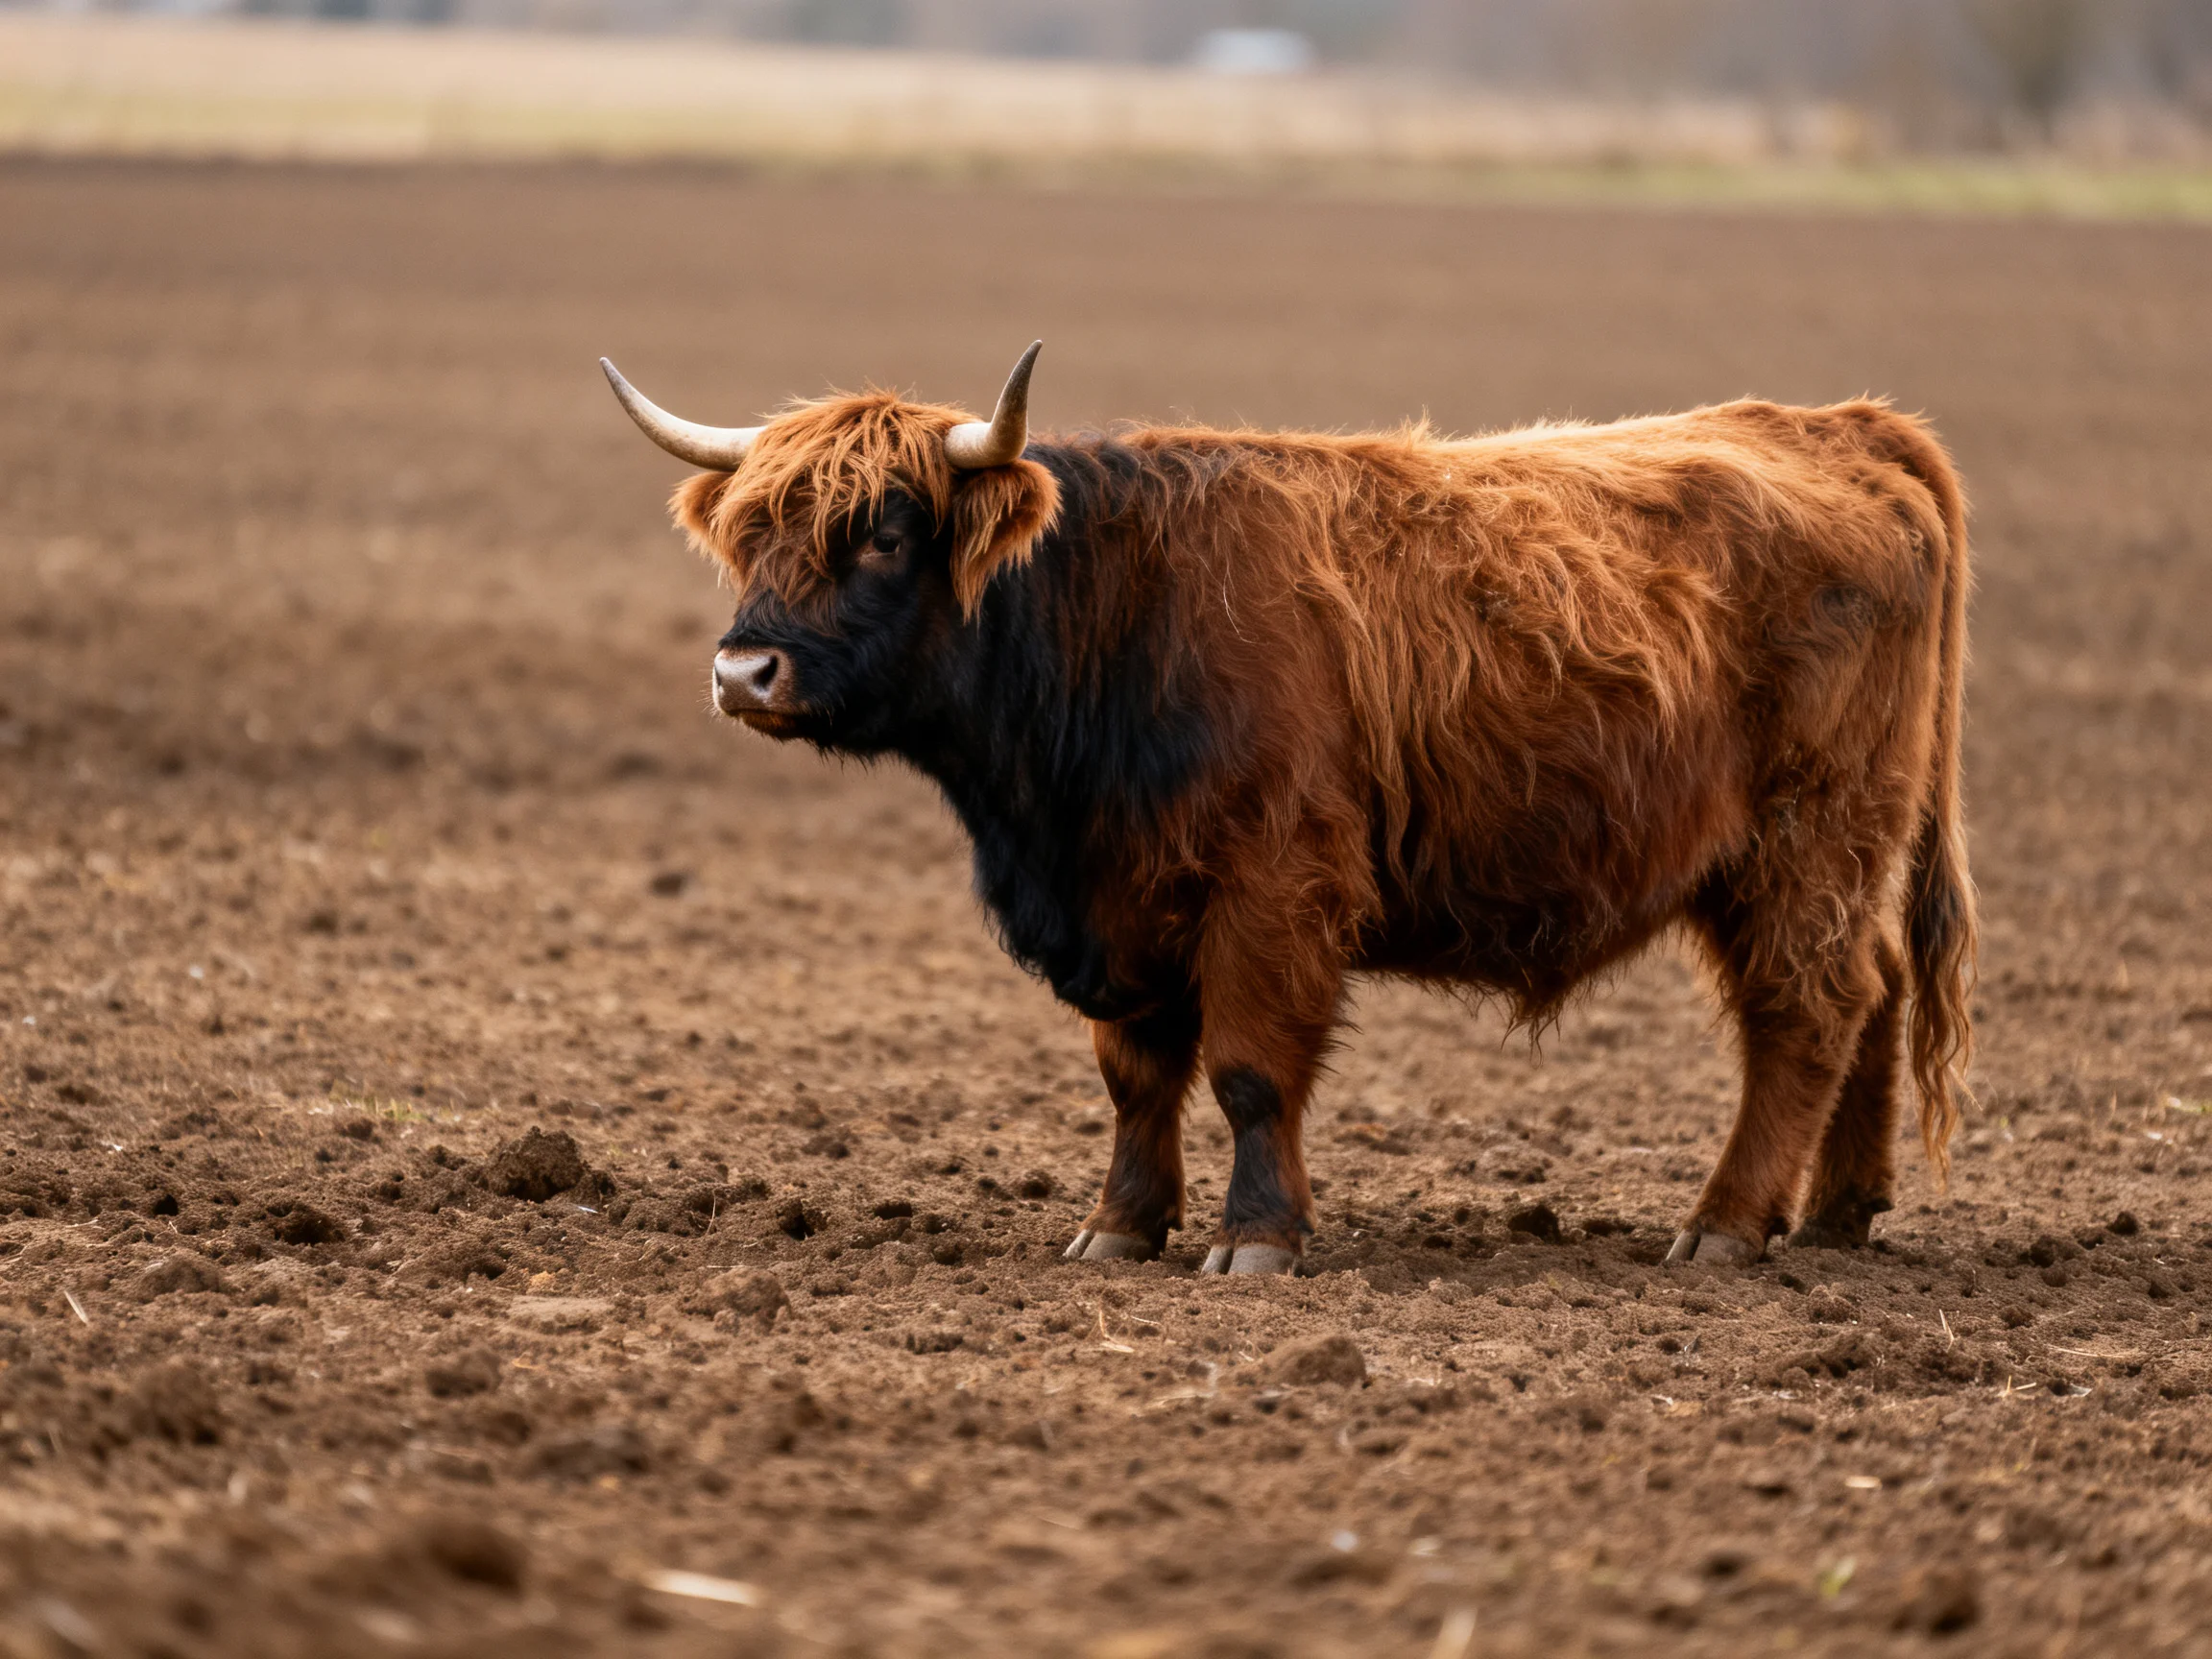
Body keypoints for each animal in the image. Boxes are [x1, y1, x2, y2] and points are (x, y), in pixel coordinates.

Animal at [601, 342, 1975, 1275]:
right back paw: (1838, 1214)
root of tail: (1843, 426)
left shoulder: (1273, 887)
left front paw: (1257, 1240)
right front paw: (1118, 1229)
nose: (744, 673)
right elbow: (1135, 1079)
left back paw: (1727, 1225)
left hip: (1805, 837)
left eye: (884, 532)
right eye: (751, 533)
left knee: (1810, 1008)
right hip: (1835, 850)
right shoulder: (1122, 901)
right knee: (1874, 994)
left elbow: (1252, 1072)